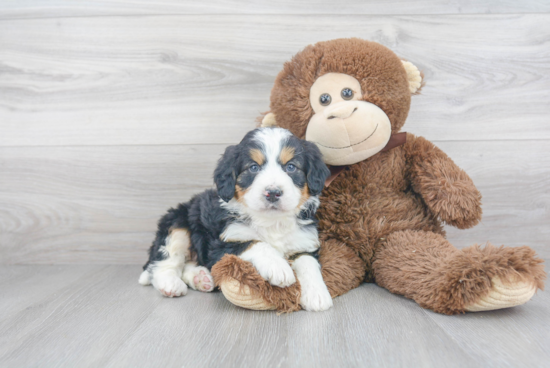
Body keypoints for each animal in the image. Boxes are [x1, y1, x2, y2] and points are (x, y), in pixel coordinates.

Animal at [140, 126, 334, 310]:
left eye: (291, 167)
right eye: (253, 167)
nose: (272, 192)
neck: (271, 221)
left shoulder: (303, 241)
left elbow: (308, 262)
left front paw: (317, 295)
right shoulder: (224, 243)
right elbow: (256, 243)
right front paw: (278, 267)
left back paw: (201, 278)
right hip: (177, 222)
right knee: (164, 261)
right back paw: (170, 284)